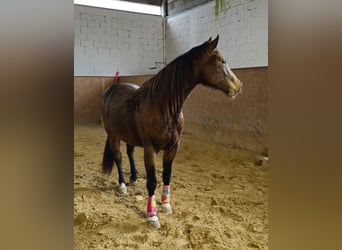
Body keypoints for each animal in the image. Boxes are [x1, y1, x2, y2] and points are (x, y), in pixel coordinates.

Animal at [101, 35, 243, 229]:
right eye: (222, 61)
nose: (239, 86)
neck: (164, 107)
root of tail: (110, 90)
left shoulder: (173, 147)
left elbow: (167, 175)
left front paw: (166, 205)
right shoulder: (150, 149)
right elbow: (152, 180)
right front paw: (152, 215)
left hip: (129, 136)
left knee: (129, 153)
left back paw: (134, 177)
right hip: (114, 135)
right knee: (118, 157)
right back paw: (122, 186)